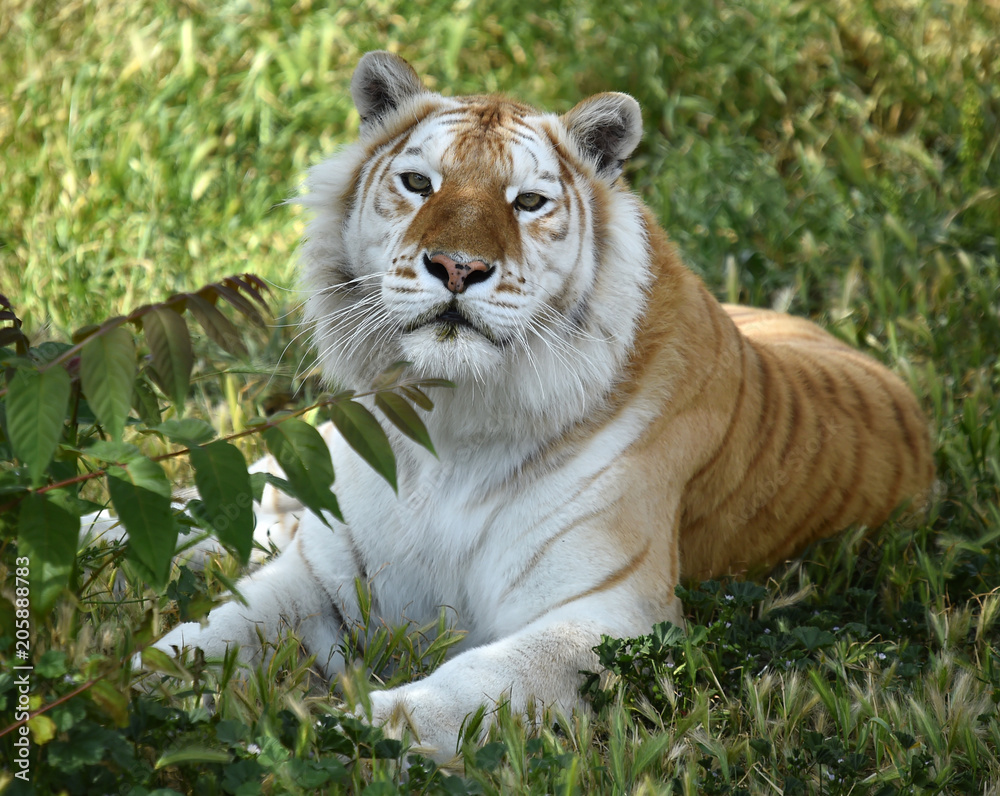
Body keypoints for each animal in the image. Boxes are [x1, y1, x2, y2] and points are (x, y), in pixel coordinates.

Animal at [144, 51, 935, 761]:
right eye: (417, 183)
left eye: (527, 202)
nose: (456, 266)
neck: (450, 421)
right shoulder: (328, 571)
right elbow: (210, 635)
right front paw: (142, 687)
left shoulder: (609, 616)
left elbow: (470, 686)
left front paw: (343, 732)